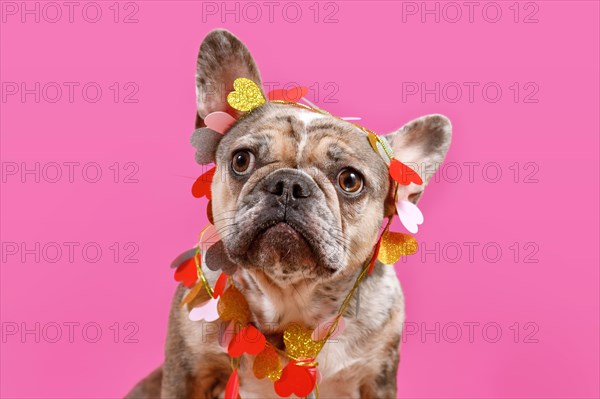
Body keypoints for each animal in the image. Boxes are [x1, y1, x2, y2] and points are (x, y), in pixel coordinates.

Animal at [127, 29, 450, 398]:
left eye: (350, 180)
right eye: (242, 160)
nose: (289, 185)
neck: (290, 297)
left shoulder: (376, 379)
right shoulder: (187, 374)